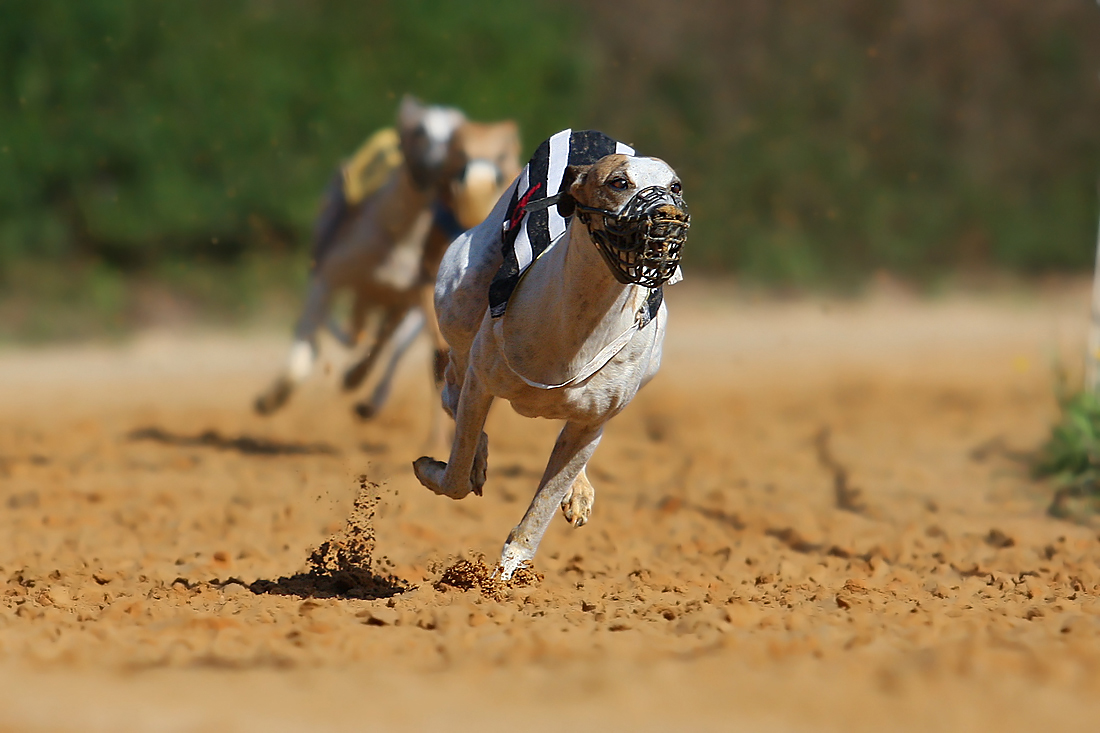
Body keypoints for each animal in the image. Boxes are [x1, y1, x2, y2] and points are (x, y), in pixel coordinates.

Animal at [415, 131, 690, 576]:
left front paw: (511, 568)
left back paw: (578, 489)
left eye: (676, 186)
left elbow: (546, 498)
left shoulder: (594, 422)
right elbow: (455, 474)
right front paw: (437, 469)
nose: (667, 213)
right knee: (451, 387)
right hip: (459, 303)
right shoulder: (482, 382)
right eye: (619, 183)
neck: (583, 317)